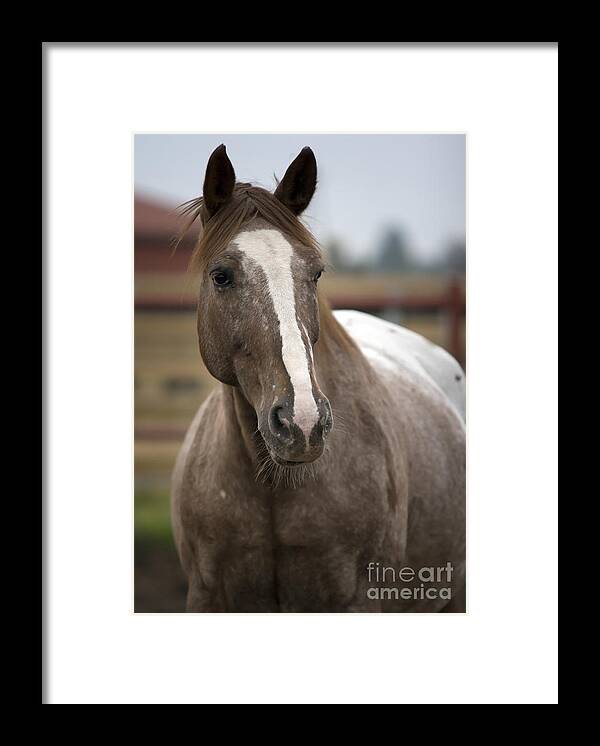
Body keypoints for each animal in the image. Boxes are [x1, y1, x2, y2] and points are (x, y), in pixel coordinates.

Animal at [171, 145, 466, 612]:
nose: (302, 423)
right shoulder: (205, 596)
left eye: (316, 273)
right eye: (221, 276)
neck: (274, 487)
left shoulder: (360, 598)